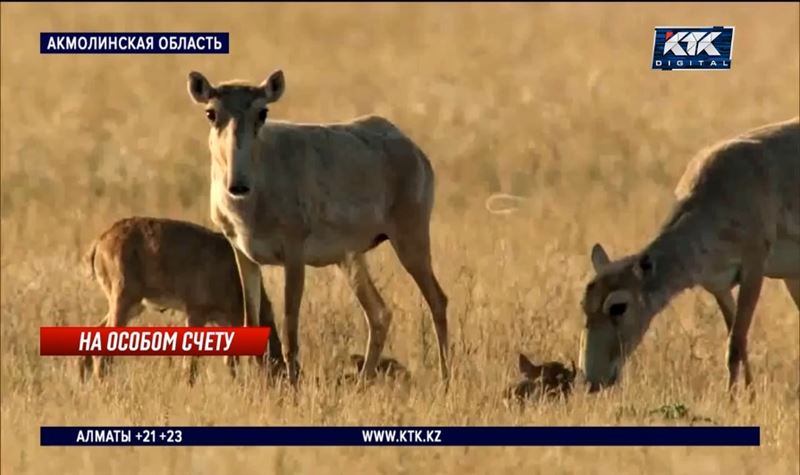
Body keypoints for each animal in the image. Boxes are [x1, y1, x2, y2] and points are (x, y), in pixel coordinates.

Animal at [188, 69, 450, 386]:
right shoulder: (244, 254)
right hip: (350, 259)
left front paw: (292, 385)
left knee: (437, 300)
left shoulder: (294, 255)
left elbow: (290, 329)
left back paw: (445, 380)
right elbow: (250, 321)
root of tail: (414, 149)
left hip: (411, 241)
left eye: (262, 112)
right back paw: (362, 383)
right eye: (211, 112)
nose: (238, 185)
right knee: (379, 313)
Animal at [580, 118, 800, 394]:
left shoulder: (754, 268)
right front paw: (746, 395)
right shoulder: (717, 285)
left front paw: (735, 398)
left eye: (618, 306)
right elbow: (738, 343)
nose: (591, 380)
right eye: (584, 304)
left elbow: (735, 344)